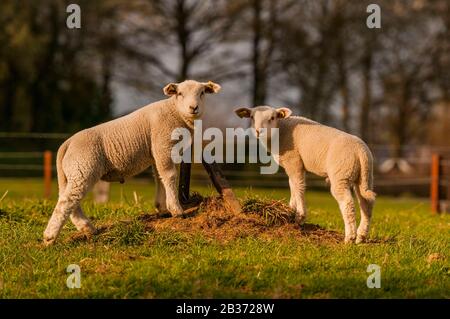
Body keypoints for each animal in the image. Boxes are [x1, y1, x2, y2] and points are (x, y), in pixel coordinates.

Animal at [43, 79, 222, 245]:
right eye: (179, 94)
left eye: (202, 93)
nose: (193, 108)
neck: (175, 112)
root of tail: (68, 143)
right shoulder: (163, 146)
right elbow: (169, 176)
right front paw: (176, 210)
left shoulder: (156, 152)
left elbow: (159, 178)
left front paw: (162, 208)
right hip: (83, 168)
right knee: (67, 201)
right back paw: (49, 237)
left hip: (74, 173)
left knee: (71, 201)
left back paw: (88, 228)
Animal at [236, 106, 376, 244]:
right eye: (252, 117)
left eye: (272, 118)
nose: (259, 131)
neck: (281, 130)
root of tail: (361, 151)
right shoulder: (291, 165)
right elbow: (292, 185)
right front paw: (291, 210)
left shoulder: (293, 161)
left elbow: (298, 186)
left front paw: (300, 217)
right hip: (364, 176)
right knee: (367, 202)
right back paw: (361, 236)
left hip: (341, 173)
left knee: (348, 203)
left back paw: (349, 237)